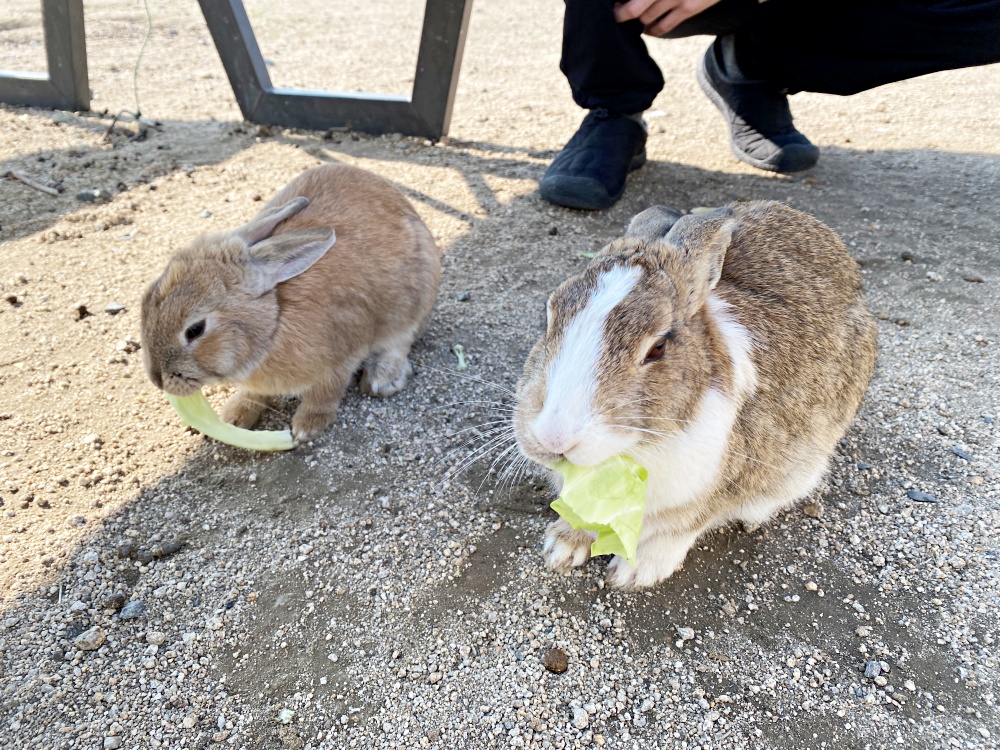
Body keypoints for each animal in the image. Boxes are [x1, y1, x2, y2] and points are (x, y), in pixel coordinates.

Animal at [143, 163, 440, 440]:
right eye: (146, 297)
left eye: (195, 330)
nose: (157, 380)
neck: (273, 323)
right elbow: (253, 394)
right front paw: (235, 416)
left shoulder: (343, 356)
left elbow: (326, 393)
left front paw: (307, 426)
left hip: (415, 302)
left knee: (401, 341)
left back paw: (382, 378)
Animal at [516, 203, 876, 592]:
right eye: (549, 316)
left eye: (658, 347)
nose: (553, 438)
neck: (630, 450)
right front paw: (562, 546)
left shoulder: (717, 487)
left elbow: (680, 529)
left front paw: (634, 573)